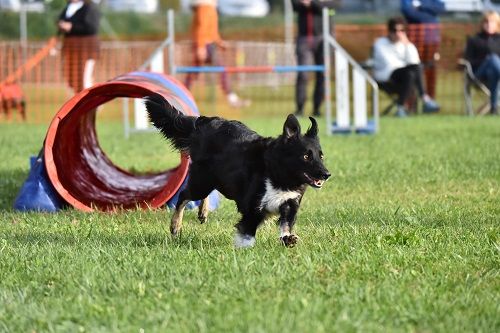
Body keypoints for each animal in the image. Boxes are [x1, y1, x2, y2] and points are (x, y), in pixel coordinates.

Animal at [143, 93, 330, 246]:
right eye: (305, 156)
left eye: (321, 156)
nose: (326, 174)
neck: (279, 174)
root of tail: (204, 122)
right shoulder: (252, 206)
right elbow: (248, 232)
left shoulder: (290, 203)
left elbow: (286, 225)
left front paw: (287, 239)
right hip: (202, 182)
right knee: (183, 195)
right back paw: (175, 225)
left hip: (216, 180)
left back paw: (203, 212)